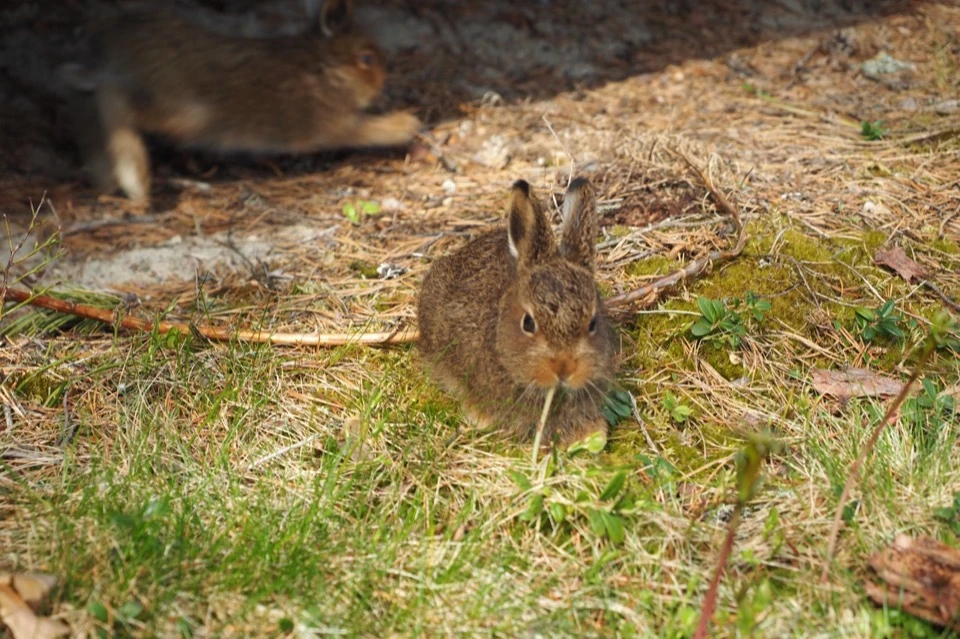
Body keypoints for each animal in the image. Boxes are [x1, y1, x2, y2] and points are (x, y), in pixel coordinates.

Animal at [59, 0, 421, 203]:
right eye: (366, 59)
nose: (381, 85)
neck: (324, 67)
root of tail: (108, 44)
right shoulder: (333, 124)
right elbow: (366, 130)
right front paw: (406, 125)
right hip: (182, 110)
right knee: (110, 100)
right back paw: (136, 178)